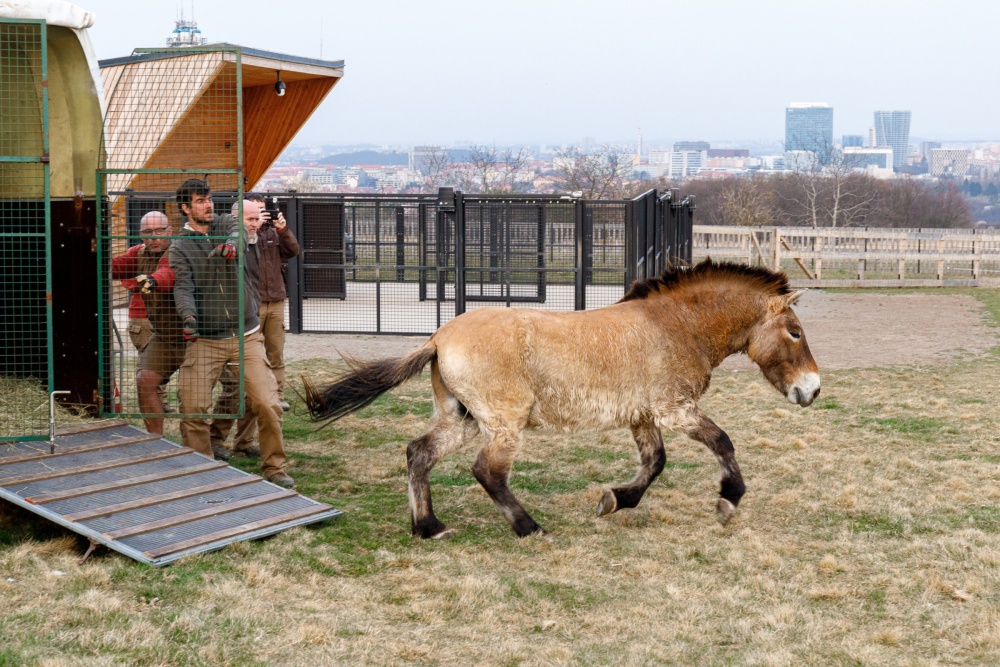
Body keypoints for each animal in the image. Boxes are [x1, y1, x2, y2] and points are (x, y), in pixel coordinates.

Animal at [304, 258, 820, 540]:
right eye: (795, 332)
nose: (812, 390)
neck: (674, 326)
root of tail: (438, 337)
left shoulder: (643, 415)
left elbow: (654, 463)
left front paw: (616, 500)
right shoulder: (675, 411)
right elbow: (723, 442)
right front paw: (728, 501)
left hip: (462, 419)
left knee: (419, 454)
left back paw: (429, 526)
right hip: (503, 424)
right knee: (487, 471)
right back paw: (529, 528)